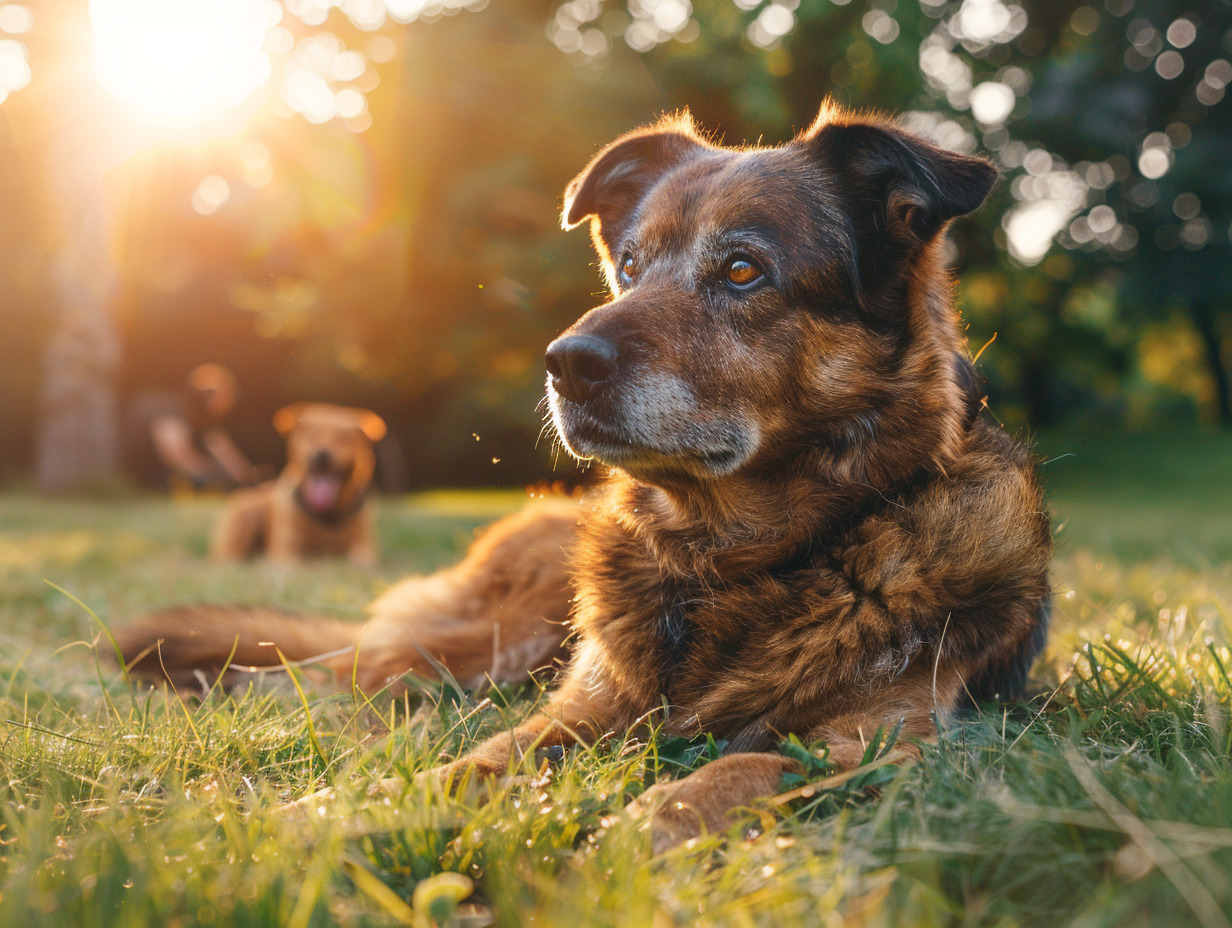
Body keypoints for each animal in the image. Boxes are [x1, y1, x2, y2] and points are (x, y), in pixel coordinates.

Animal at [209, 399, 386, 564]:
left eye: (343, 438)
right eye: (311, 435)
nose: (322, 455)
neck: (329, 515)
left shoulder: (365, 546)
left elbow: (361, 559)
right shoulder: (287, 549)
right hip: (245, 511)